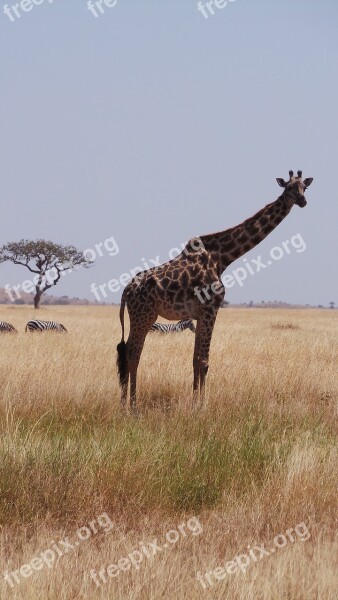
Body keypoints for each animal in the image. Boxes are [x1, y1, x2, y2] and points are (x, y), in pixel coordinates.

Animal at [116, 169, 312, 412]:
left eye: (305, 186)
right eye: (290, 188)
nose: (303, 201)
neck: (223, 257)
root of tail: (126, 290)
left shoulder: (200, 314)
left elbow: (195, 360)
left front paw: (195, 403)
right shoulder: (211, 308)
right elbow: (205, 361)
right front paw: (202, 406)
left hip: (140, 316)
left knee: (126, 352)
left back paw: (125, 403)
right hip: (144, 315)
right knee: (133, 352)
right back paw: (132, 406)